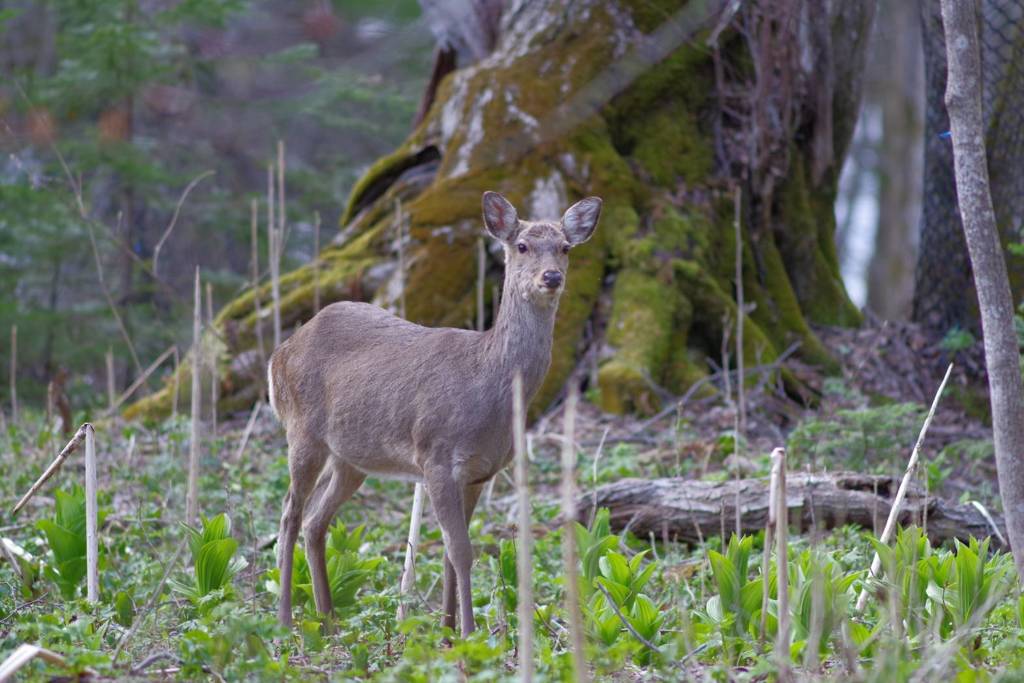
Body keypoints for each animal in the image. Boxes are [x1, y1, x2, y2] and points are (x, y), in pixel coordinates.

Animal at [266, 191, 598, 634]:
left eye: (565, 248)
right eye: (522, 245)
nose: (551, 278)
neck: (486, 383)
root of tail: (279, 354)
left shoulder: (479, 472)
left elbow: (449, 551)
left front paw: (447, 631)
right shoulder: (436, 457)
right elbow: (461, 550)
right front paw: (469, 631)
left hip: (350, 457)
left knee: (315, 520)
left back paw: (329, 618)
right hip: (302, 432)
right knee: (289, 514)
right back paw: (285, 620)